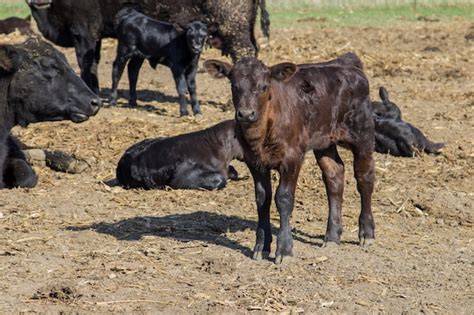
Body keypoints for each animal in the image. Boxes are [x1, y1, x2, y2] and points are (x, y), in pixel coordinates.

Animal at [26, 0, 270, 94]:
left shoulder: (83, 31)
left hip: (234, 30)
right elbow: (93, 61)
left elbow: (86, 63)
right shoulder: (95, 37)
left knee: (245, 54)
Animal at [206, 53, 376, 264]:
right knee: (334, 177)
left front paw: (284, 249)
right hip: (324, 141)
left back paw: (366, 233)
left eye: (264, 86)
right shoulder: (254, 162)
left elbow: (284, 198)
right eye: (234, 85)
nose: (246, 114)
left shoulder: (292, 158)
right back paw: (331, 237)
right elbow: (262, 199)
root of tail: (345, 62)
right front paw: (261, 246)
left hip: (362, 134)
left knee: (364, 179)